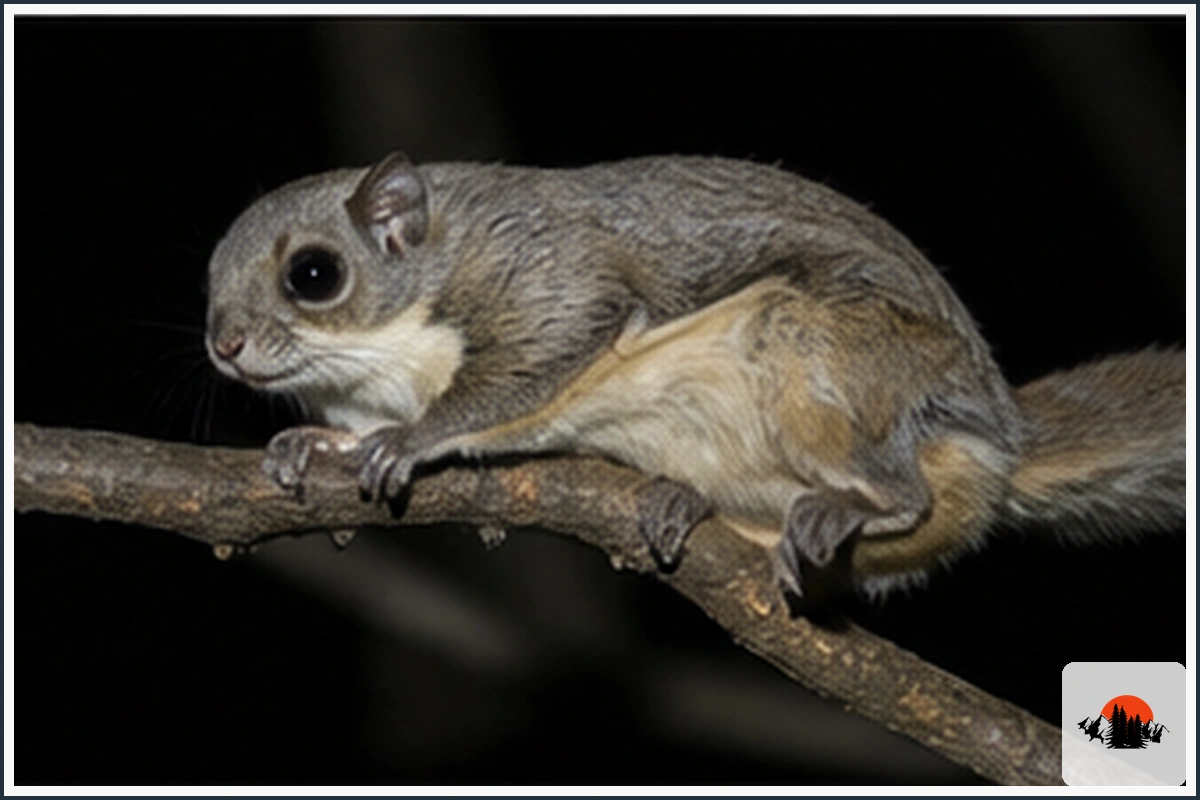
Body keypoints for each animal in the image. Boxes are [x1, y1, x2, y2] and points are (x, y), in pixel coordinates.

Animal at [205, 152, 1185, 600]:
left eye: (314, 275)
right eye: (209, 279)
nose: (224, 346)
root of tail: (1000, 431)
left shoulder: (551, 285)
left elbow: (515, 374)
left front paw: (412, 438)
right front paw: (311, 444)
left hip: (832, 363)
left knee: (904, 492)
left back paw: (856, 506)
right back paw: (688, 505)